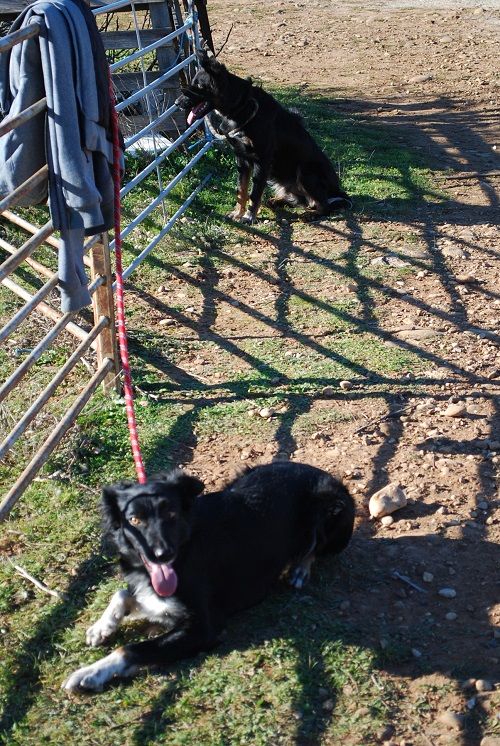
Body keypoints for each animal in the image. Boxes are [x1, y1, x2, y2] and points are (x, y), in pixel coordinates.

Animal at [62, 460, 354, 692]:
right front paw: (102, 626)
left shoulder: (205, 626)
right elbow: (123, 593)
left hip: (332, 510)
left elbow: (132, 648)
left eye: (171, 514)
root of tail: (323, 473)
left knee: (313, 549)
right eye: (135, 520)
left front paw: (90, 673)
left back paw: (300, 568)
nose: (162, 555)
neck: (184, 550)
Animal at [176, 49, 352, 222]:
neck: (242, 106)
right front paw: (237, 213)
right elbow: (241, 190)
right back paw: (278, 200)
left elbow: (254, 193)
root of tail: (337, 191)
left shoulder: (262, 159)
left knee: (324, 205)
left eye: (198, 86)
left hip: (307, 172)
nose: (177, 103)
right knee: (302, 200)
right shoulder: (241, 157)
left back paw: (311, 214)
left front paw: (248, 217)